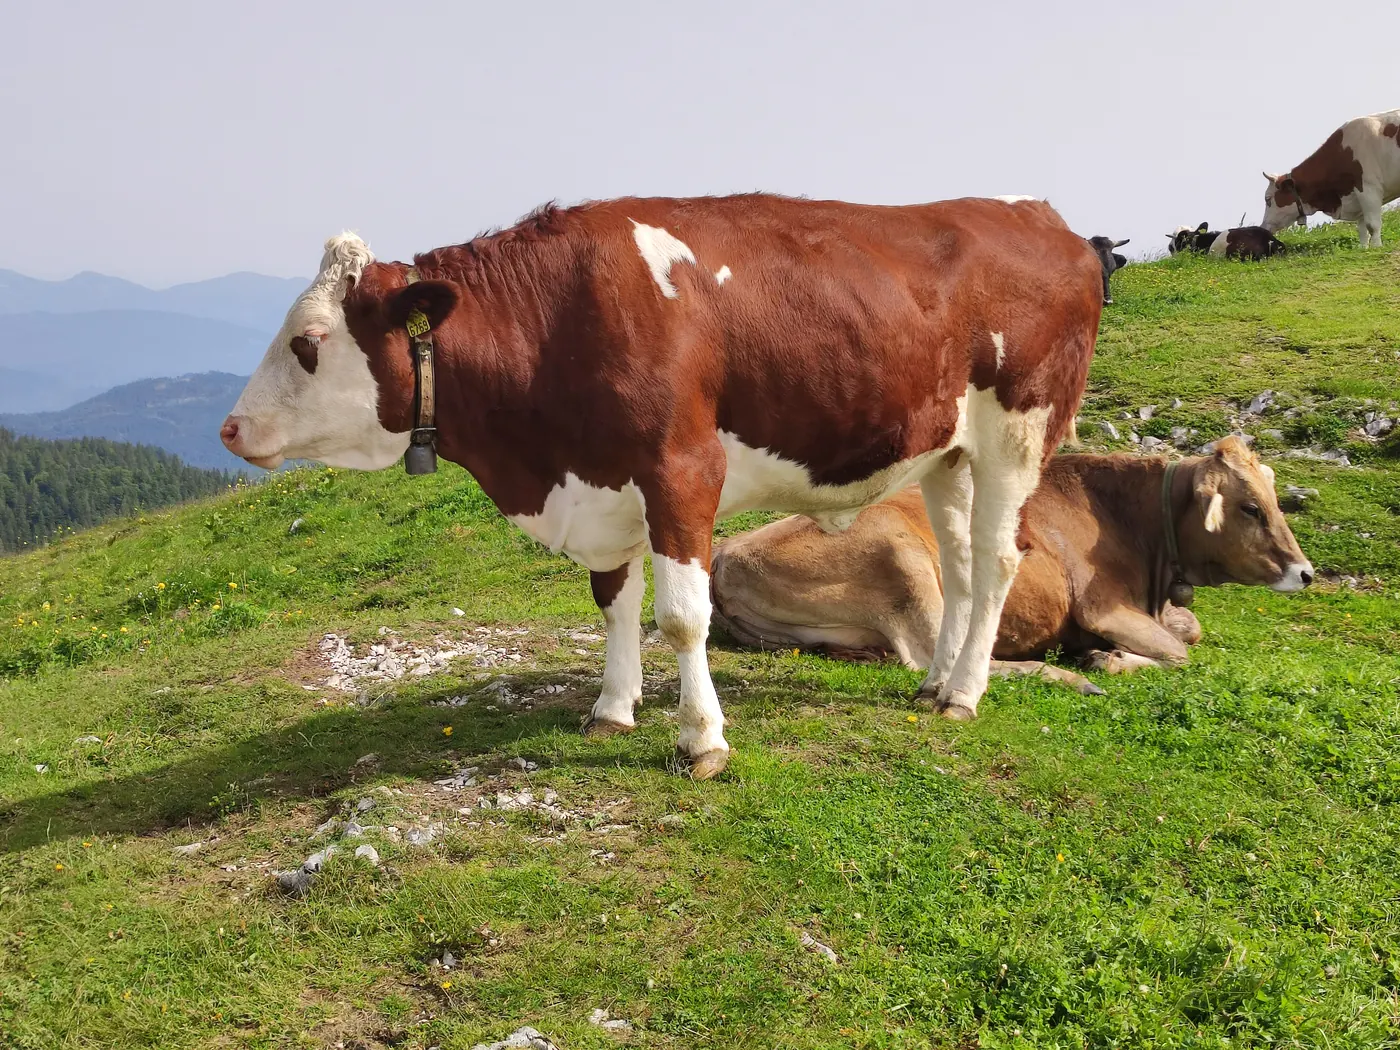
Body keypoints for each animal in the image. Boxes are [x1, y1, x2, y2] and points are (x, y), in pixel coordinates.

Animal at [221, 194, 1103, 777]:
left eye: (308, 342)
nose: (229, 429)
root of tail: (1038, 215)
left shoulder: (681, 471)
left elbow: (680, 617)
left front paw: (701, 739)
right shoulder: (602, 484)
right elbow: (613, 603)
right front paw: (613, 709)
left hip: (1018, 432)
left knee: (998, 561)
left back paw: (964, 695)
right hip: (947, 451)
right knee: (959, 563)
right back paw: (935, 681)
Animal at [710, 438, 1313, 695]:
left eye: (1274, 499)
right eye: (1250, 506)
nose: (1305, 572)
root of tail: (725, 553)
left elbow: (1191, 629)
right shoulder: (1102, 606)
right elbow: (1180, 653)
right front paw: (1108, 660)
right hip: (904, 559)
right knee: (937, 654)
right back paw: (1064, 674)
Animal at [1262, 109, 1400, 247]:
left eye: (1268, 199)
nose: (1263, 227)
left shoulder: (1368, 186)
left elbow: (1372, 224)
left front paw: (1377, 247)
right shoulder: (1357, 197)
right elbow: (1362, 227)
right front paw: (1363, 248)